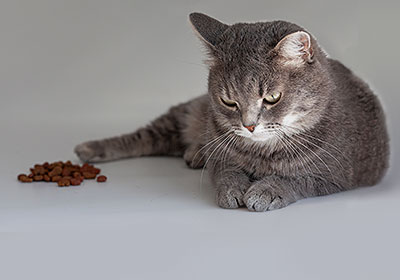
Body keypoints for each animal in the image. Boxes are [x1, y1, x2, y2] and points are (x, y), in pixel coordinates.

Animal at [74, 12, 388, 211]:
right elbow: (227, 172)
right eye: (228, 101)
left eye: (272, 98)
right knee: (142, 137)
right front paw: (234, 190)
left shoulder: (334, 175)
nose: (249, 125)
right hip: (186, 113)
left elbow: (296, 179)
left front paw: (266, 190)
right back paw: (90, 148)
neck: (262, 153)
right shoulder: (222, 156)